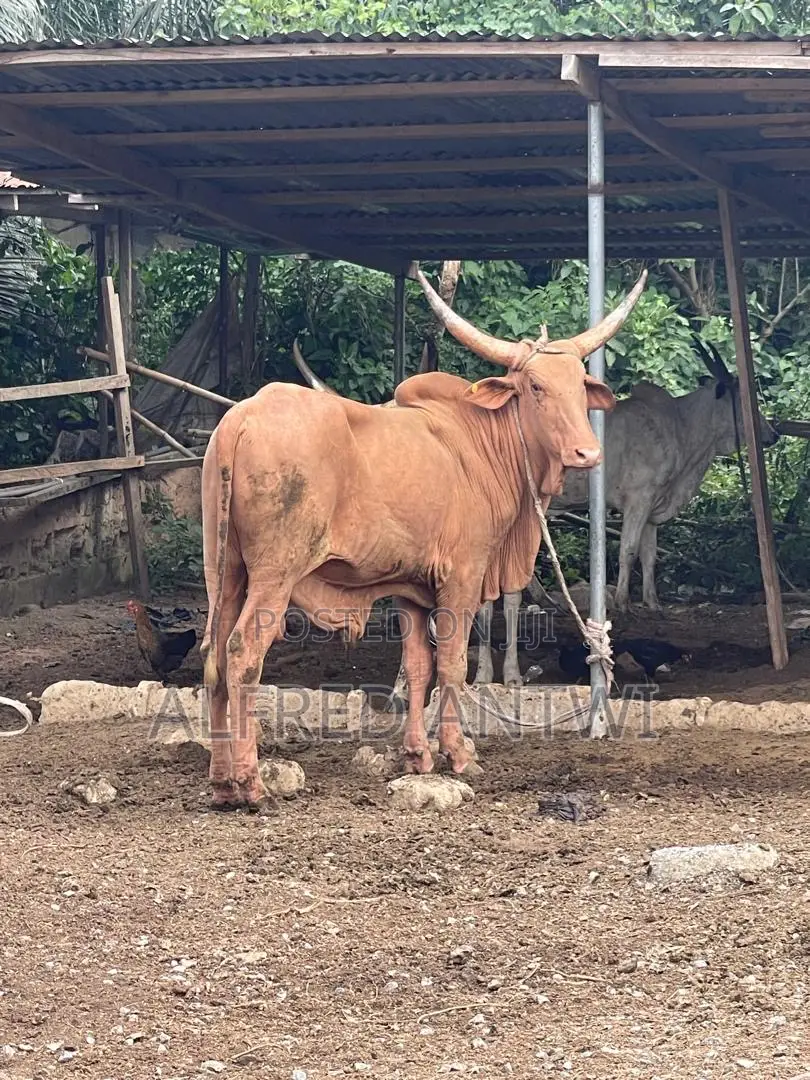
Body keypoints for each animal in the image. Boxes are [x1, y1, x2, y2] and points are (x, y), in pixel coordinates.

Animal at [199, 269, 646, 808]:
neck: (481, 442)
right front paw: (459, 752)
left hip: (224, 572)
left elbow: (417, 667)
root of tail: (242, 416)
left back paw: (222, 780)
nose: (587, 452)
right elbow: (451, 664)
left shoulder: (411, 588)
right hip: (274, 575)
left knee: (213, 657)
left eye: (580, 385)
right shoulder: (464, 577)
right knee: (242, 653)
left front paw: (417, 755)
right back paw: (249, 781)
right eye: (536, 385)